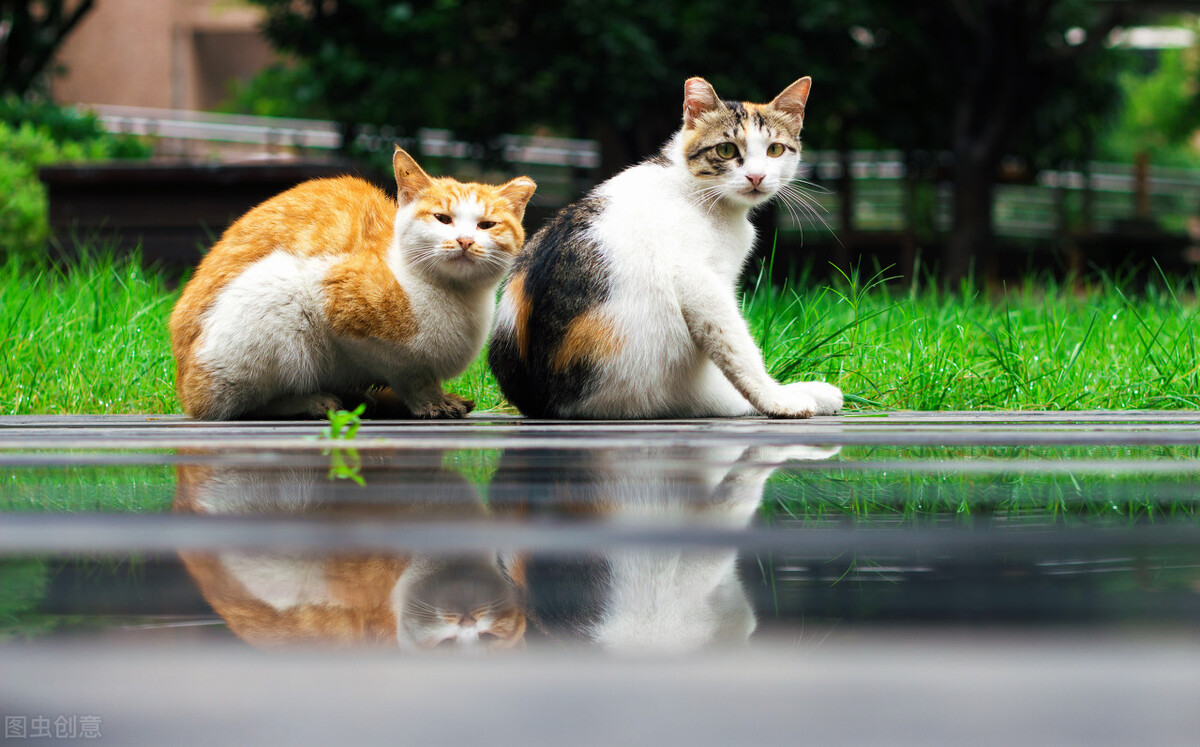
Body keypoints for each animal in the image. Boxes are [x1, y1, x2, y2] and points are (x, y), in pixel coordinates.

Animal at [168, 147, 535, 422]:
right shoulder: (337, 297)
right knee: (238, 406)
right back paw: (313, 402)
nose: (464, 241)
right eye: (442, 219)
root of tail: (185, 385)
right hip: (277, 305)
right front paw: (429, 399)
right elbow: (409, 372)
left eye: (487, 225)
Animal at [487, 78, 844, 417]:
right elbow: (736, 347)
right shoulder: (699, 282)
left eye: (775, 150)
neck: (697, 191)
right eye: (726, 150)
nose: (756, 177)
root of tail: (543, 401)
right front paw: (779, 400)